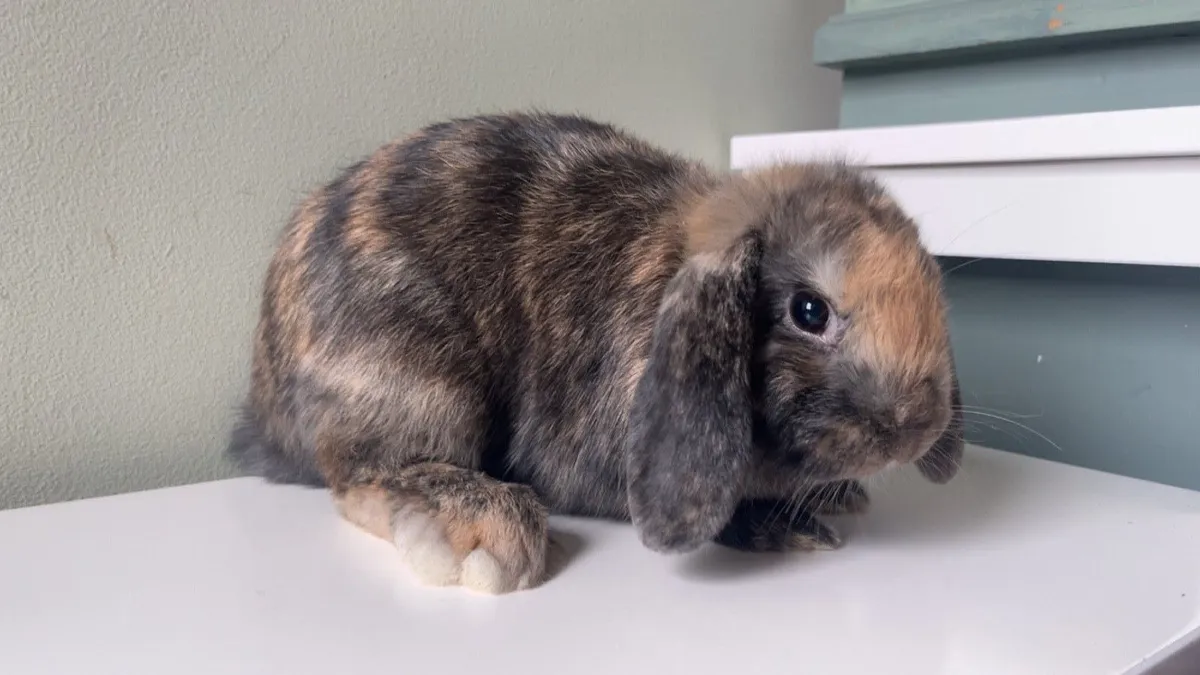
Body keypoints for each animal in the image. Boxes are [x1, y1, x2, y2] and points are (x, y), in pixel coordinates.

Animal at [227, 111, 964, 594]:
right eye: (809, 311)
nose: (916, 425)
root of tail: (264, 412)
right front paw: (785, 527)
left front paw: (839, 497)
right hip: (416, 374)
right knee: (363, 476)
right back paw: (486, 531)